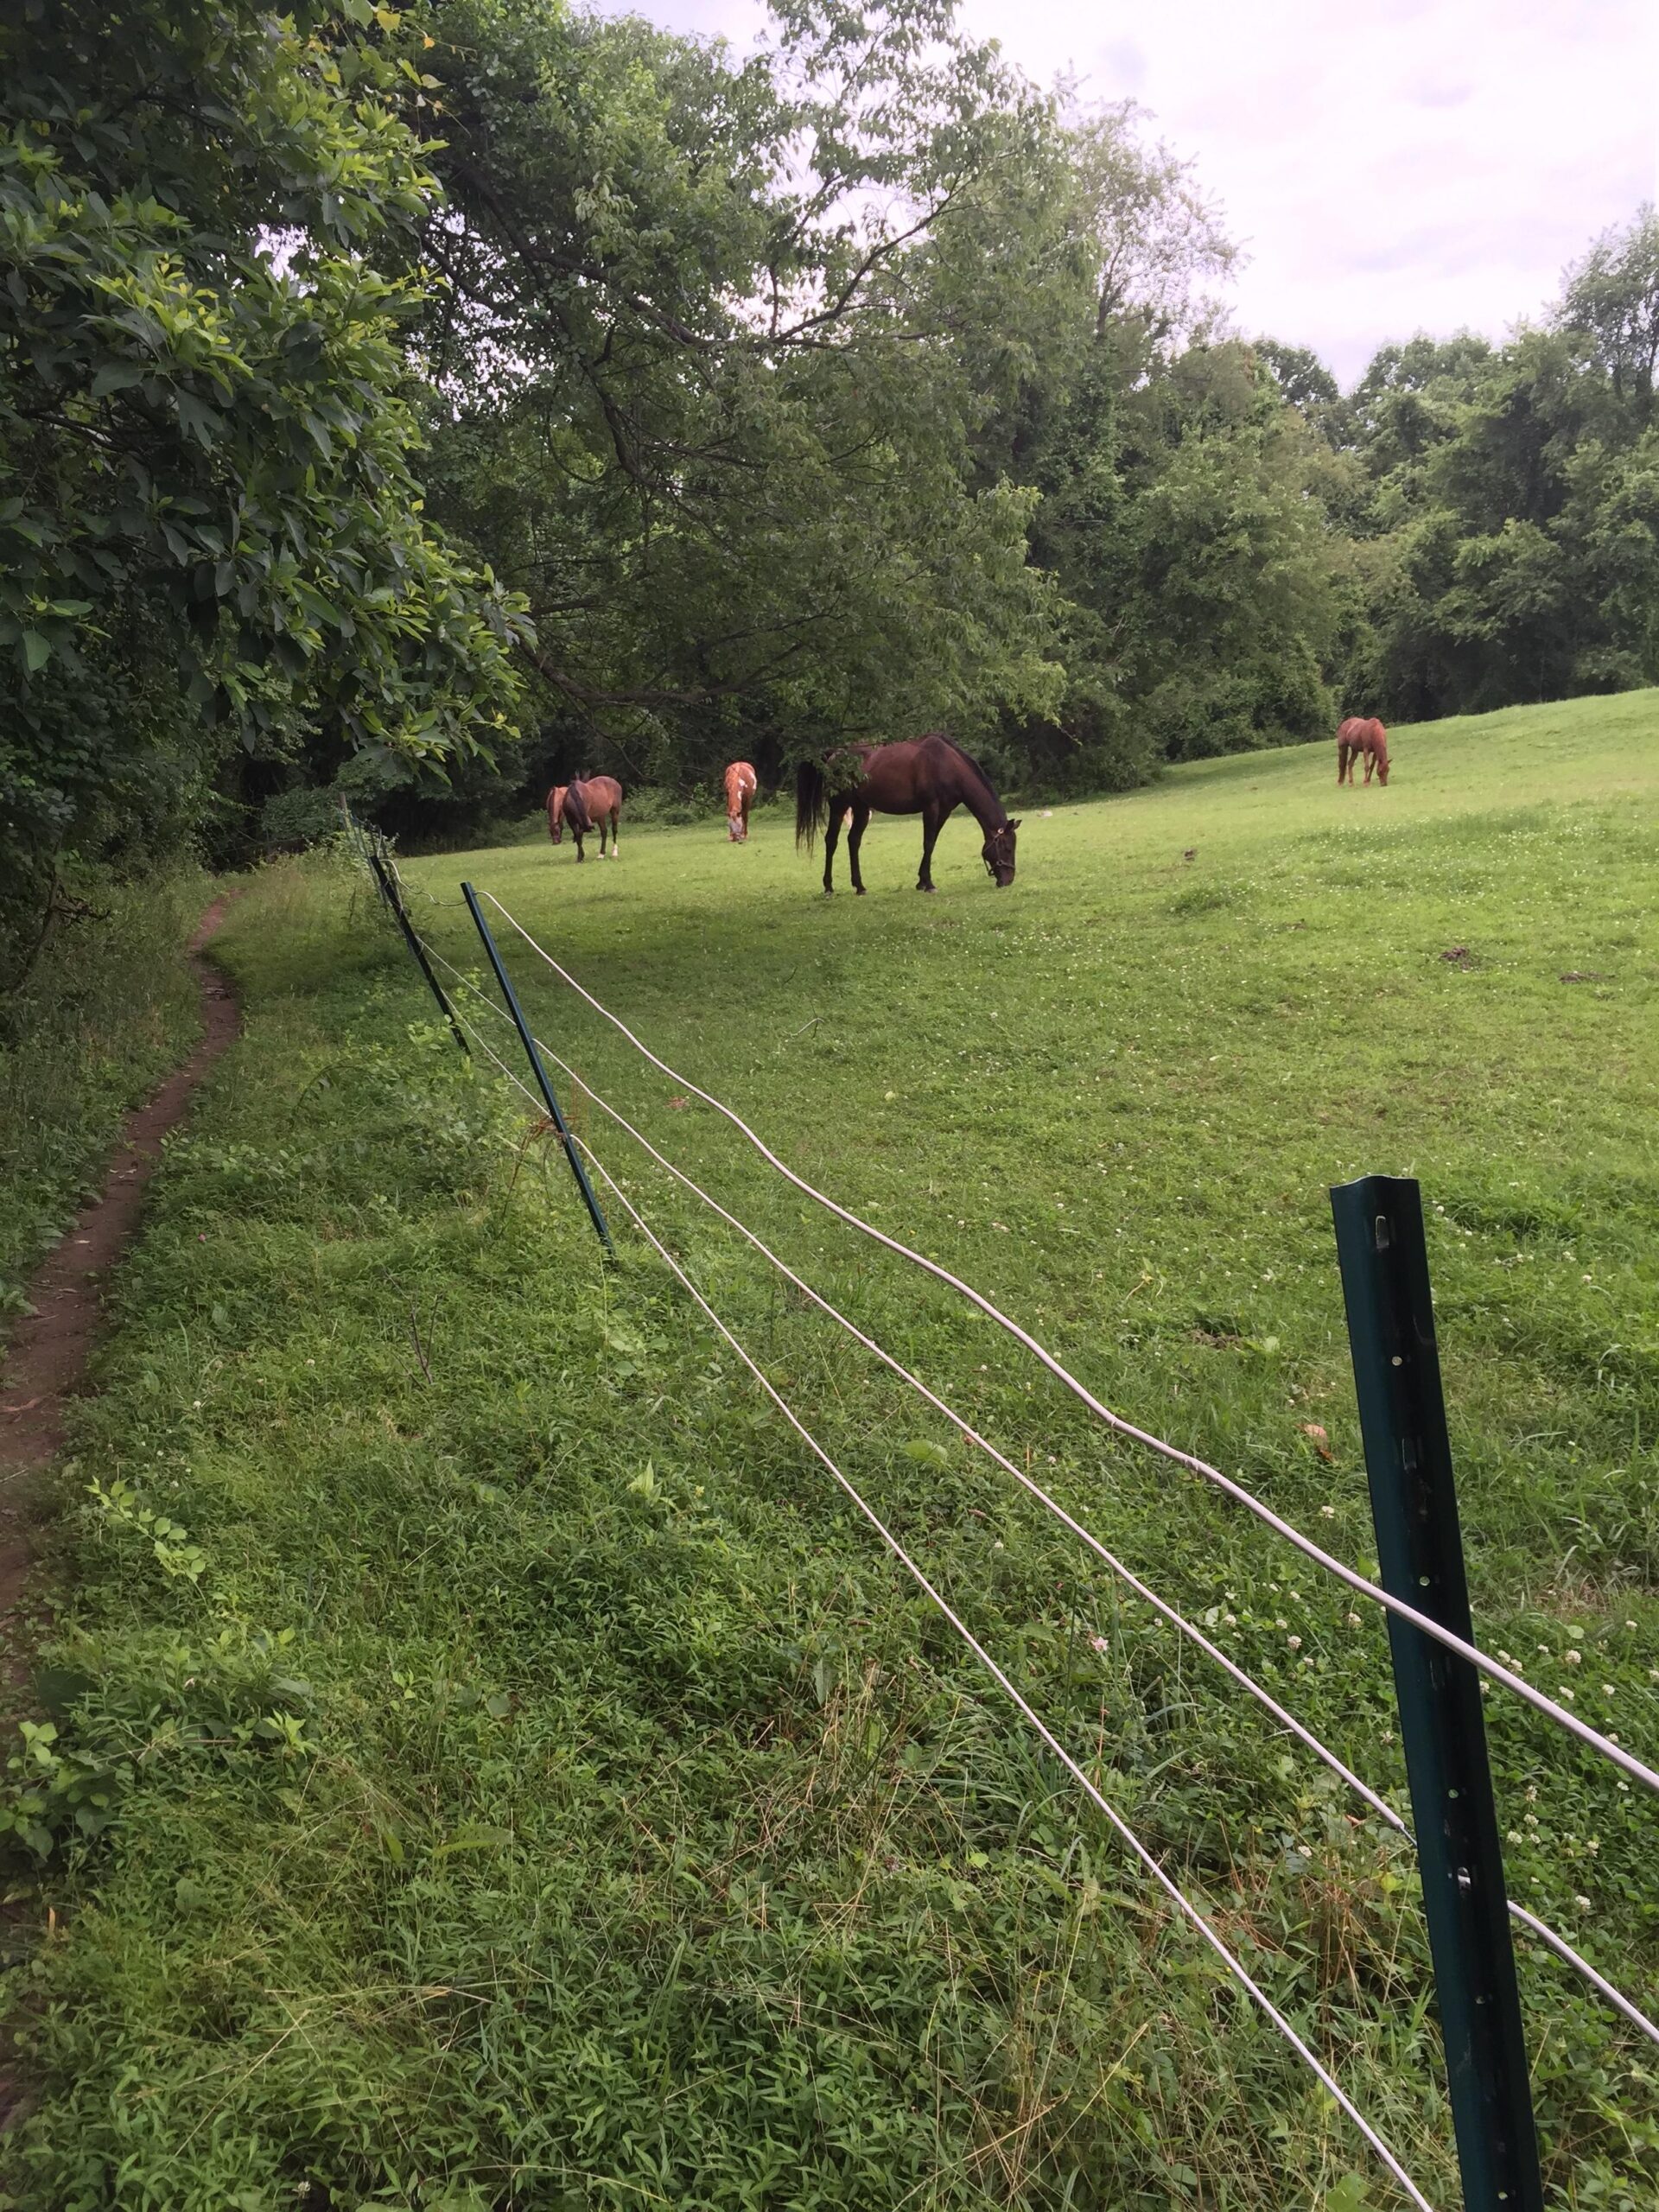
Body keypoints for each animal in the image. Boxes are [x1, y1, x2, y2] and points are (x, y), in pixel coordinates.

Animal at [795, 733, 1019, 894]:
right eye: (1007, 848)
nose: (1008, 880)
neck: (946, 765)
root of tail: (835, 754)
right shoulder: (931, 808)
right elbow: (928, 843)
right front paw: (929, 884)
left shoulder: (944, 811)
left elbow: (932, 843)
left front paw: (921, 882)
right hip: (839, 806)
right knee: (831, 841)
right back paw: (828, 887)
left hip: (861, 809)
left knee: (853, 841)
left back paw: (860, 887)